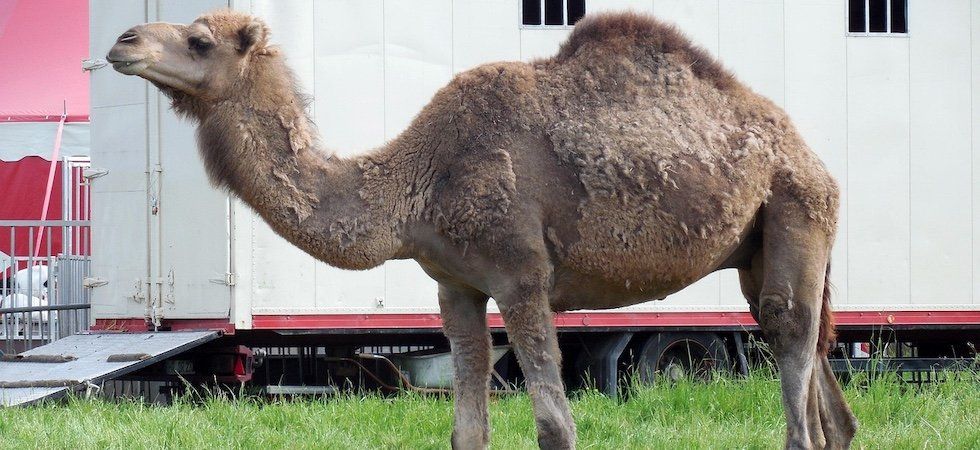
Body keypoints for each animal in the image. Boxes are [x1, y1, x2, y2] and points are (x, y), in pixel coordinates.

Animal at [107, 10, 858, 449]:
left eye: (199, 40)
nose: (121, 41)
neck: (419, 182)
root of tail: (808, 155)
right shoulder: (455, 286)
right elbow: (467, 428)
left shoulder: (520, 274)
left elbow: (555, 424)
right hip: (766, 247)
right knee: (820, 381)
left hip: (794, 207)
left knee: (792, 359)